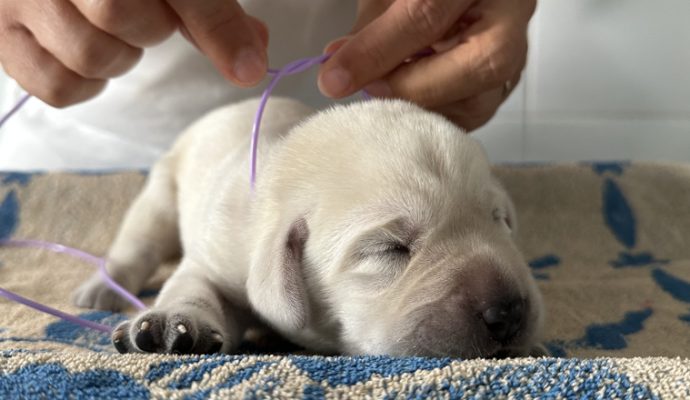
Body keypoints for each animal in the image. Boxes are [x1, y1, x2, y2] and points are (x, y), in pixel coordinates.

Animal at [71, 97, 544, 360]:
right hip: (161, 192)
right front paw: (172, 322)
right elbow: (192, 285)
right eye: (390, 249)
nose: (508, 312)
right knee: (138, 244)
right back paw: (100, 288)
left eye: (500, 221)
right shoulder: (218, 255)